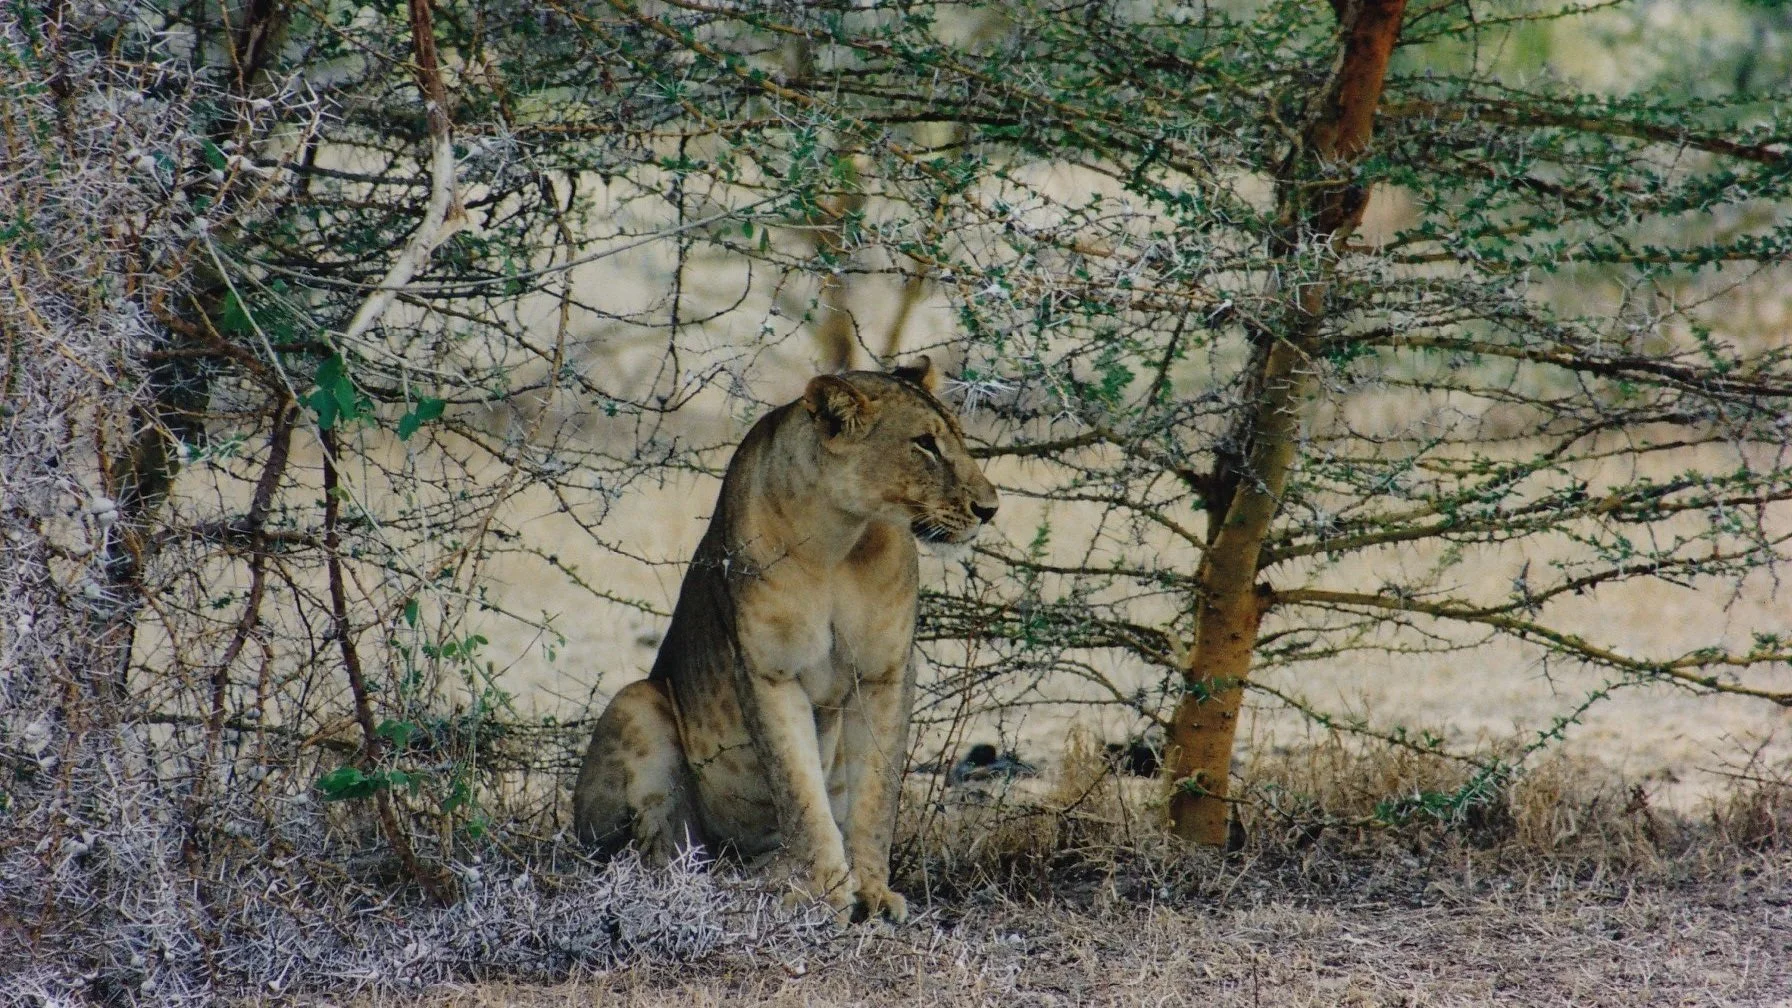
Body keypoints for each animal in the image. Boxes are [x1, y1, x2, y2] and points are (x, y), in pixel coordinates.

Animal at [572, 358, 998, 924]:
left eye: (958, 438)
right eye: (925, 444)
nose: (990, 508)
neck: (840, 537)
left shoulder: (885, 671)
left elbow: (876, 795)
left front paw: (873, 893)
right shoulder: (768, 670)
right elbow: (798, 788)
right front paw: (824, 890)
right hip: (635, 704)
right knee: (664, 852)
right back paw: (721, 883)